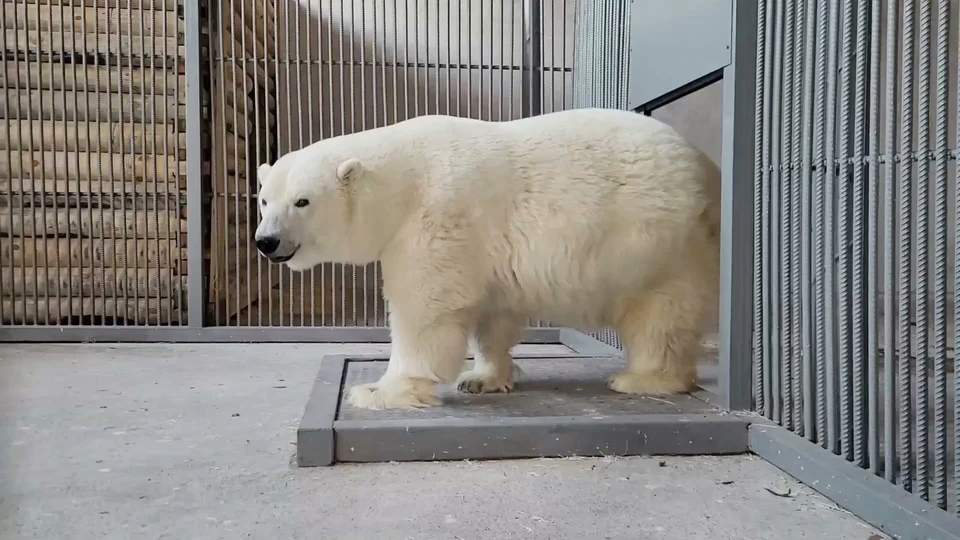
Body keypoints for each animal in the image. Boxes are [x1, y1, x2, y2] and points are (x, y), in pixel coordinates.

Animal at [255, 107, 720, 412]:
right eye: (263, 199)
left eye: (302, 201)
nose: (266, 241)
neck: (399, 184)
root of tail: (707, 166)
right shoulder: (485, 250)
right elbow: (492, 315)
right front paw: (481, 378)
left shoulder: (435, 219)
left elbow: (424, 314)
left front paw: (377, 392)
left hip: (659, 243)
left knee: (661, 315)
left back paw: (642, 378)